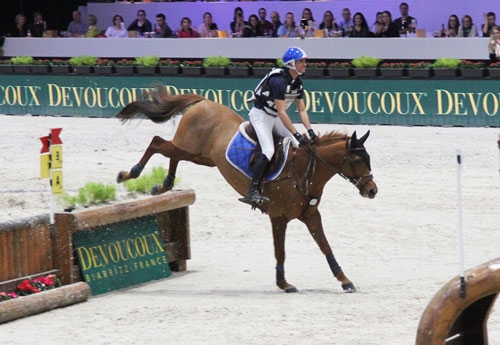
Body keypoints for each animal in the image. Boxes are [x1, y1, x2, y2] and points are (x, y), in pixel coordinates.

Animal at [115, 88, 376, 292]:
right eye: (357, 160)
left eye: (369, 159)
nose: (372, 190)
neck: (305, 172)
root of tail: (204, 102)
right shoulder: (278, 218)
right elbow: (280, 251)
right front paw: (284, 284)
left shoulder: (311, 215)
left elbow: (325, 246)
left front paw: (344, 280)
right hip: (190, 148)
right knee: (157, 142)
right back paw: (130, 173)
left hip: (200, 156)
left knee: (172, 154)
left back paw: (164, 185)